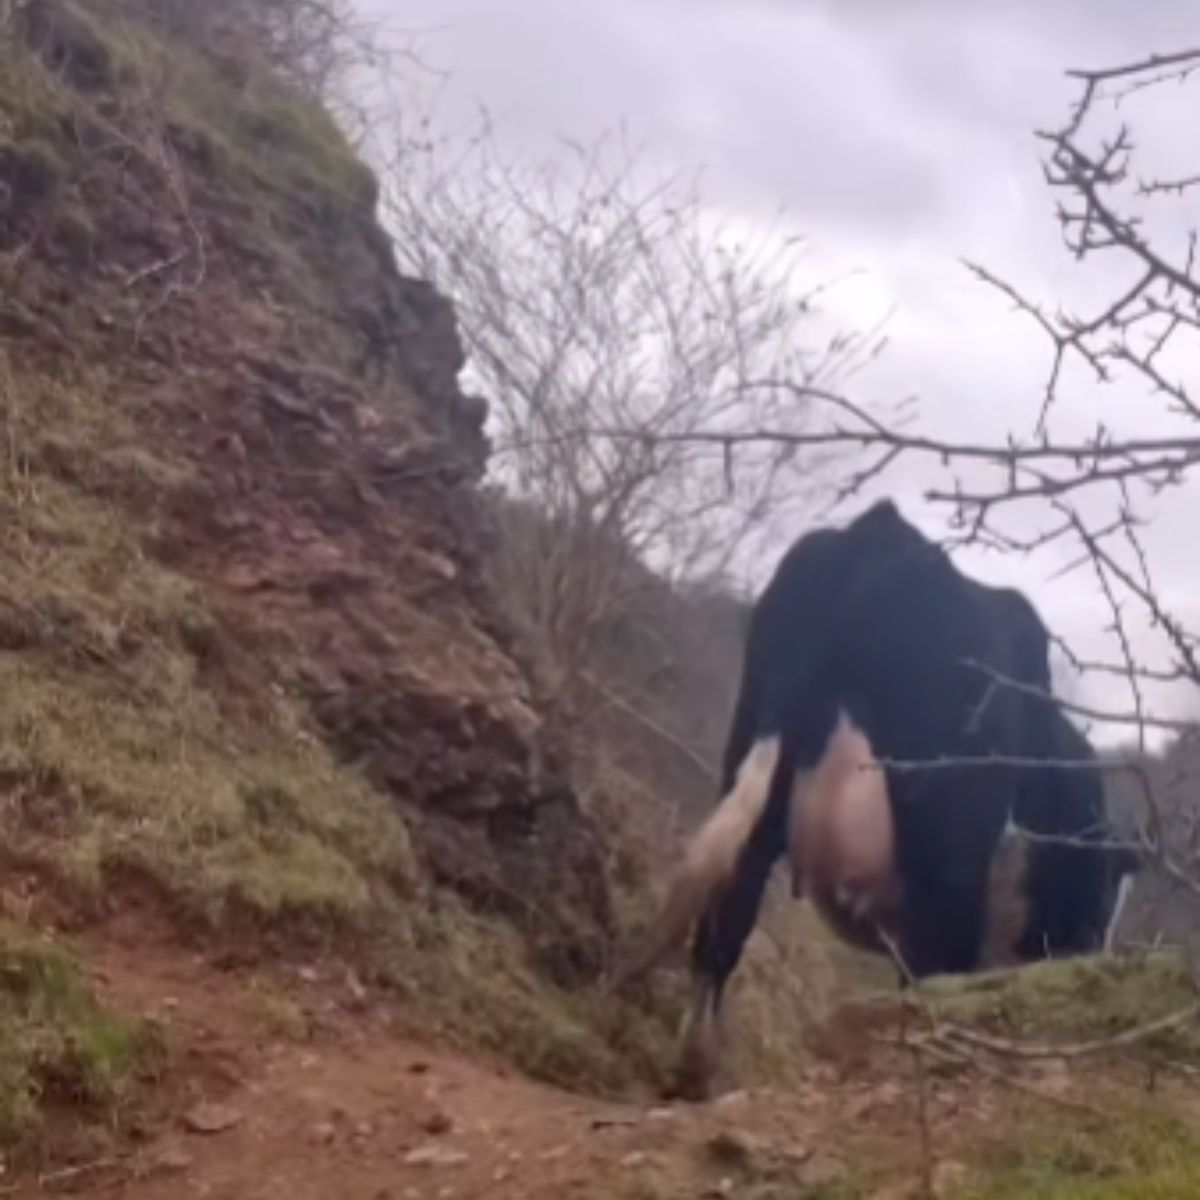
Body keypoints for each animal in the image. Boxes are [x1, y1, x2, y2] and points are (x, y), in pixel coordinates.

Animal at [624, 496, 1137, 1099]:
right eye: (1103, 888)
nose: (1090, 948)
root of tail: (870, 537)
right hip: (945, 838)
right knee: (930, 971)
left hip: (752, 770)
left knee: (724, 923)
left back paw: (693, 1069)